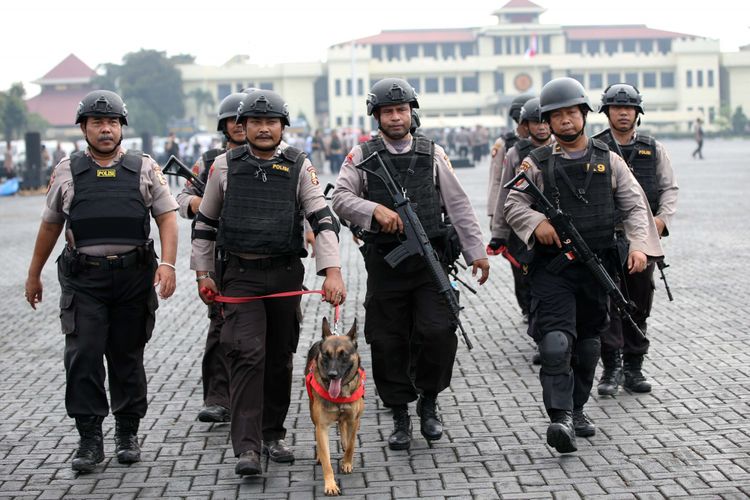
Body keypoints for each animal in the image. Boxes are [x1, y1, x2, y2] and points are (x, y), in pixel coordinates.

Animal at [306, 318, 364, 494]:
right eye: (326, 355)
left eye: (343, 355)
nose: (332, 375)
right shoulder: (322, 426)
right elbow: (326, 459)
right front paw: (330, 484)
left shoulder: (354, 420)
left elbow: (351, 444)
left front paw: (347, 463)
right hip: (312, 412)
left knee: (343, 424)